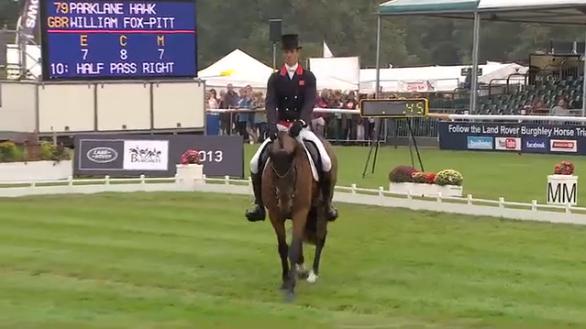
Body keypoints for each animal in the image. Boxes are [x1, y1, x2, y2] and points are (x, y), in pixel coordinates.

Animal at [262, 129, 338, 298]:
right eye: (273, 173)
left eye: (293, 172)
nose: (285, 206)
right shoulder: (275, 216)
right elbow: (283, 247)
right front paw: (285, 280)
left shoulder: (300, 212)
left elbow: (294, 248)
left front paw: (291, 285)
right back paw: (301, 270)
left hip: (321, 207)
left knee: (320, 237)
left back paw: (313, 274)